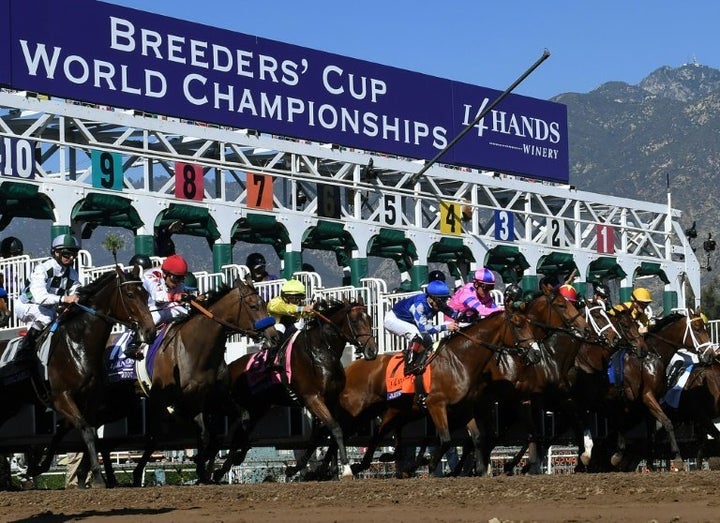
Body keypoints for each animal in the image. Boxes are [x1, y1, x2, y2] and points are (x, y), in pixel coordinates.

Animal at [0, 266, 155, 488]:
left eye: (146, 295)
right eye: (130, 294)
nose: (150, 331)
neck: (77, 344)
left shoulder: (89, 399)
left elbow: (73, 431)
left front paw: (41, 467)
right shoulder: (62, 396)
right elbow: (87, 431)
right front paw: (97, 477)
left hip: (9, 406)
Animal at [129, 278, 276, 488]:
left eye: (265, 304)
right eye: (253, 306)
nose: (274, 336)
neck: (196, 348)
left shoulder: (214, 396)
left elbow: (240, 420)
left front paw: (213, 468)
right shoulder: (182, 400)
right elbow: (199, 435)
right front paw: (203, 469)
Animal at [208, 298, 376, 484]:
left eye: (370, 319)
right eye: (355, 320)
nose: (372, 350)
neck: (321, 352)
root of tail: (231, 367)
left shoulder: (331, 399)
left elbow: (323, 435)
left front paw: (320, 470)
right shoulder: (312, 398)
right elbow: (335, 429)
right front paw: (345, 469)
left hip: (258, 408)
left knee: (240, 435)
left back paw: (223, 468)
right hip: (240, 405)